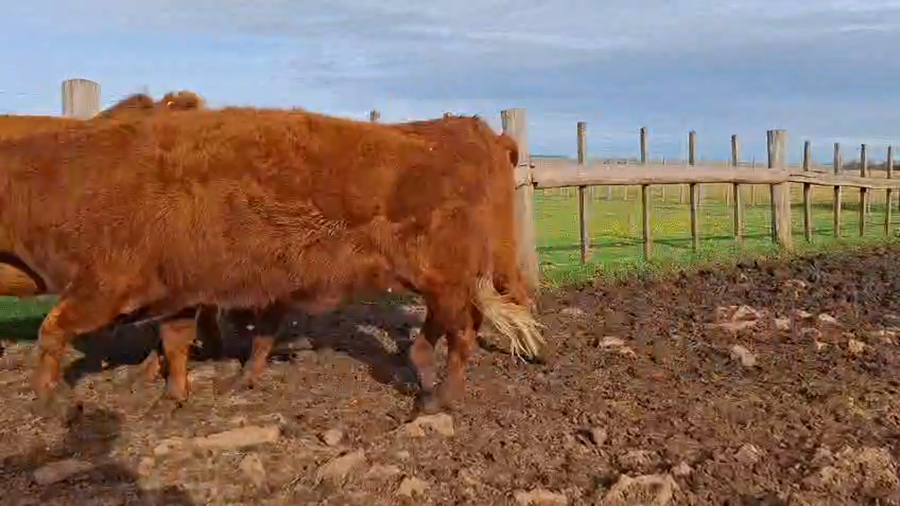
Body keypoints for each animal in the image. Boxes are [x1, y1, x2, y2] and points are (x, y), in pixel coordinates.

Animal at [0, 106, 543, 418]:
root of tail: (478, 133)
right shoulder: (180, 293)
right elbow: (177, 342)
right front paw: (177, 395)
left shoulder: (104, 286)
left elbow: (53, 330)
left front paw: (51, 403)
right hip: (441, 282)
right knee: (451, 328)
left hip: (447, 279)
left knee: (465, 332)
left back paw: (437, 398)